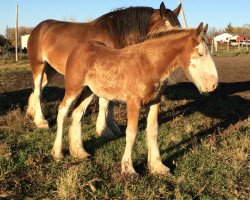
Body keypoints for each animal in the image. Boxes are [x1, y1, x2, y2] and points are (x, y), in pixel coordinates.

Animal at [26, 1, 182, 137]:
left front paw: (113, 127)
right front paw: (103, 130)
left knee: (38, 89)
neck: (115, 35)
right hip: (38, 65)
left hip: (50, 69)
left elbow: (110, 102)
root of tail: (38, 28)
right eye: (167, 32)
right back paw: (41, 121)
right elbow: (104, 103)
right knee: (38, 90)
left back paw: (31, 112)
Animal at [53, 22, 219, 175]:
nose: (213, 85)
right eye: (200, 53)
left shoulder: (154, 102)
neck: (149, 63)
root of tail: (77, 49)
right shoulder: (134, 103)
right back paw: (57, 152)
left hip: (89, 91)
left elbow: (153, 132)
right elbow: (131, 133)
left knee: (77, 114)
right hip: (74, 89)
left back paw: (79, 152)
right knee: (62, 112)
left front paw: (157, 166)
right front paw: (128, 169)